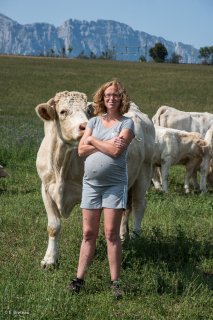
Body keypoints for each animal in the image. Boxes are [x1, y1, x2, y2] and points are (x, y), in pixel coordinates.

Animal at [35, 94, 155, 268]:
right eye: (63, 111)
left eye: (87, 111)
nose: (85, 126)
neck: (61, 165)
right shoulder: (46, 189)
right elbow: (53, 226)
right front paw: (50, 259)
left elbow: (89, 227)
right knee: (125, 209)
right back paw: (123, 237)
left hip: (144, 173)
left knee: (139, 206)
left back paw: (135, 238)